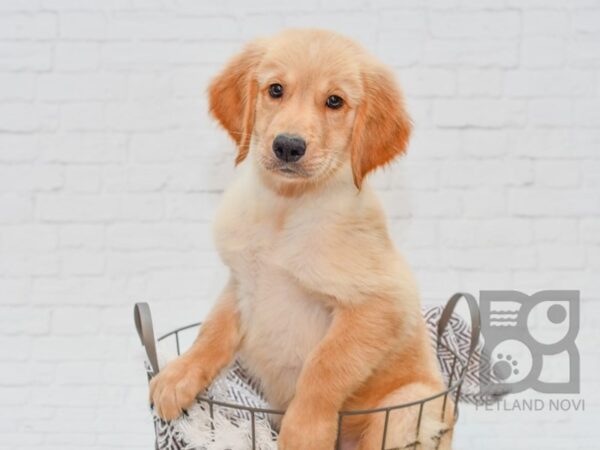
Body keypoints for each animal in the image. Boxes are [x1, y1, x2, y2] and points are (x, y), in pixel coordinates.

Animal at [149, 29, 450, 450]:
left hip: (409, 407)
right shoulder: (242, 282)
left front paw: (304, 431)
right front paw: (178, 376)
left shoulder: (381, 304)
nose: (288, 146)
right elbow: (212, 332)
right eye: (276, 89)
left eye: (334, 101)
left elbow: (324, 365)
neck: (287, 208)